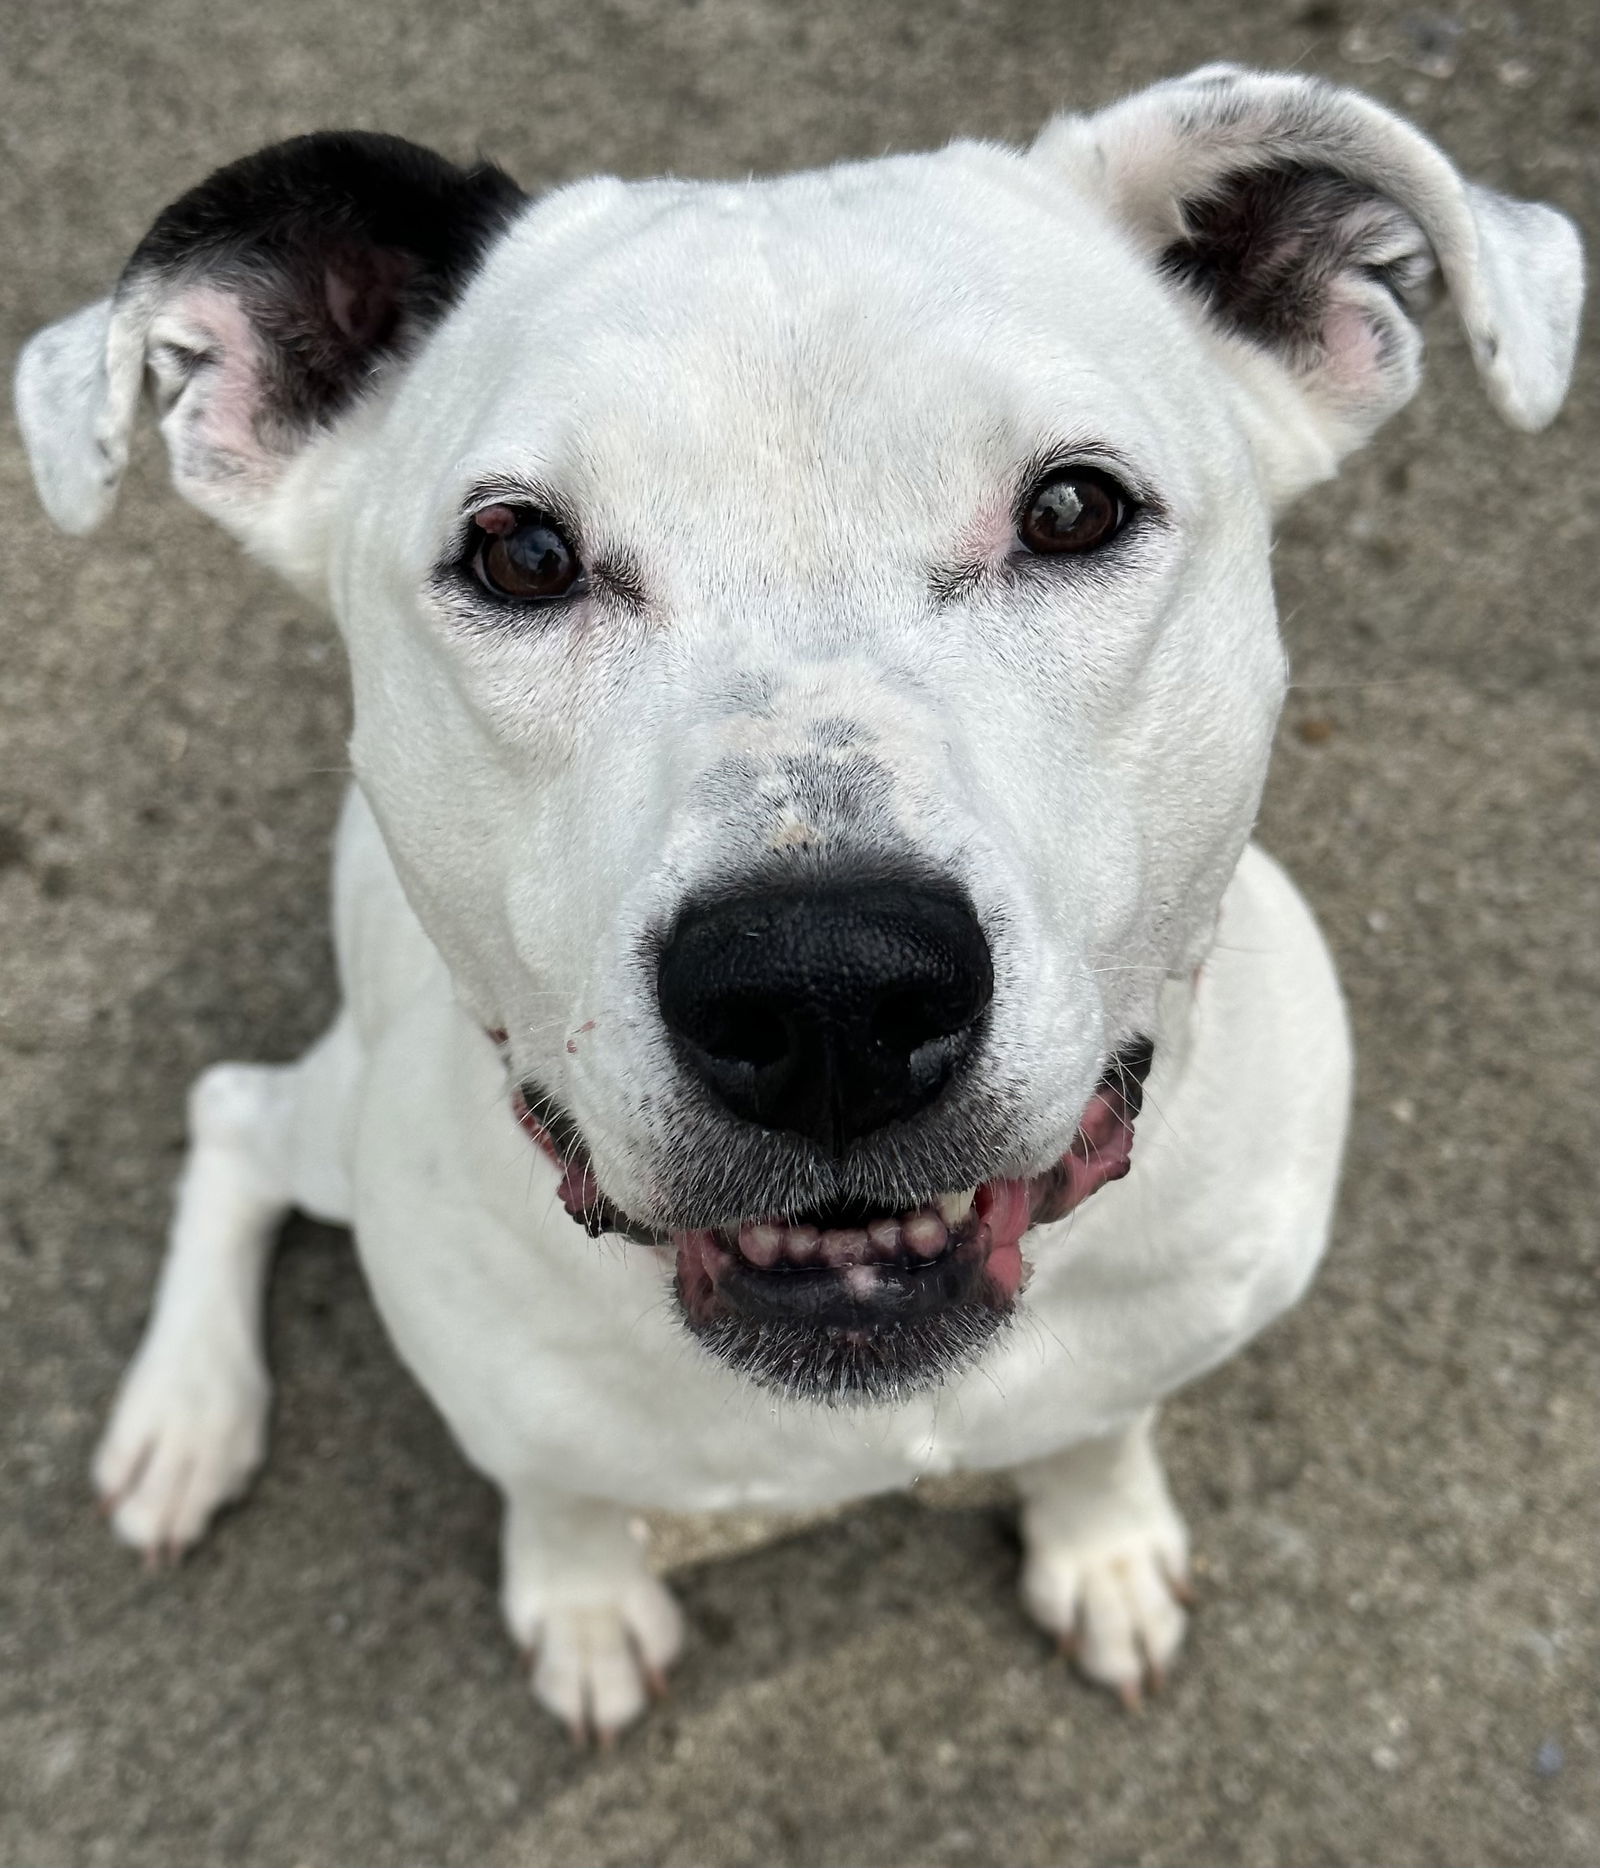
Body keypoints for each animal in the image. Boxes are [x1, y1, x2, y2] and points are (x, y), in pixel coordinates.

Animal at [18, 65, 1575, 1740]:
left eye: (1075, 509)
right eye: (521, 551)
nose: (829, 996)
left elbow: (1099, 1428)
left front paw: (1100, 1544)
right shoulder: (497, 1383)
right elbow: (554, 1489)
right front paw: (582, 1601)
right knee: (236, 1116)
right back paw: (187, 1421)